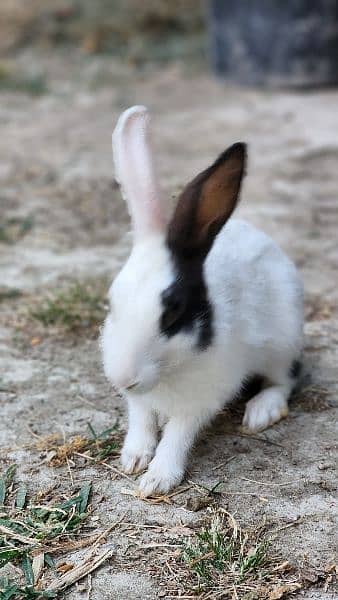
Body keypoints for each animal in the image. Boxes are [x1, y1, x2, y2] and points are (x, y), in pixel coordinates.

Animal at [101, 104, 304, 496]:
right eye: (112, 302)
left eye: (172, 313)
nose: (123, 378)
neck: (167, 371)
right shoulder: (139, 402)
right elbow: (141, 421)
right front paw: (132, 459)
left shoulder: (201, 399)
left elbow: (177, 435)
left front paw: (157, 480)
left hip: (282, 343)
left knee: (285, 380)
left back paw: (261, 412)